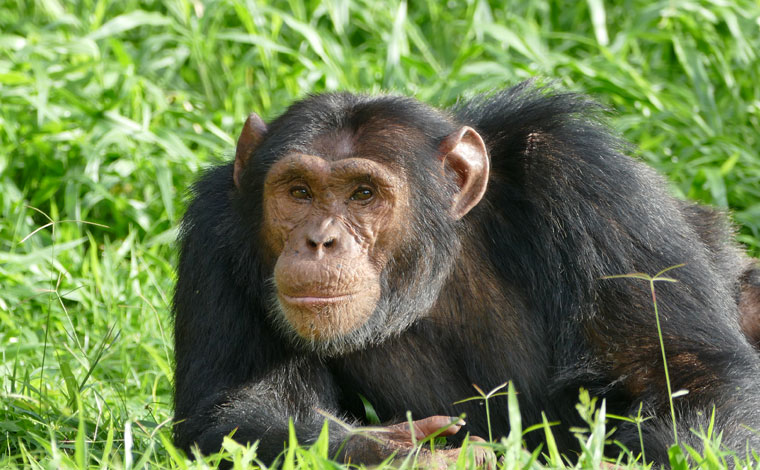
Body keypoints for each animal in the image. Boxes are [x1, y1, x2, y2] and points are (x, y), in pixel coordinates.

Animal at [172, 81, 760, 466]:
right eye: (298, 191)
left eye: (363, 193)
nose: (320, 240)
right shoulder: (214, 232)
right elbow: (235, 410)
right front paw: (405, 452)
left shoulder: (590, 184)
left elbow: (683, 372)